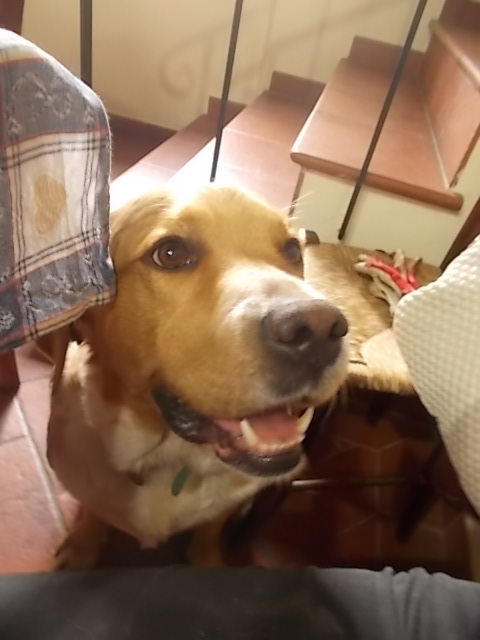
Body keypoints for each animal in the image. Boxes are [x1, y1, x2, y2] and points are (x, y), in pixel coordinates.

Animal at [46, 185, 348, 568]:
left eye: (293, 249)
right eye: (171, 254)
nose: (320, 330)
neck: (167, 458)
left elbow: (209, 533)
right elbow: (92, 512)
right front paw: (82, 546)